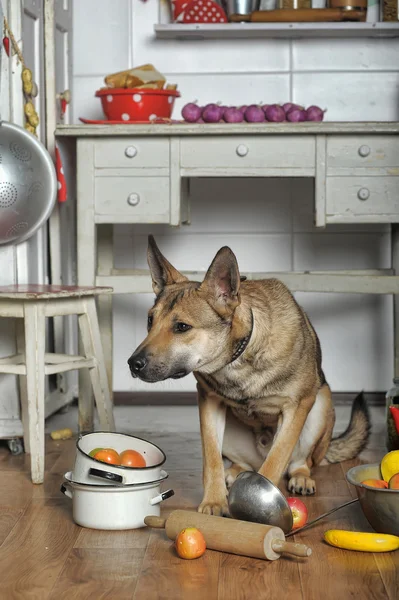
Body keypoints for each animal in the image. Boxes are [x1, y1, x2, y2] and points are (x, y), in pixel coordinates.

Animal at [130, 237, 372, 516]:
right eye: (150, 320)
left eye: (182, 327)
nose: (132, 364)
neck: (238, 359)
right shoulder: (209, 402)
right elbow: (211, 460)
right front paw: (214, 502)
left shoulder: (297, 407)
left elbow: (276, 461)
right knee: (244, 464)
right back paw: (234, 473)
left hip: (321, 405)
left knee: (299, 461)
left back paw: (300, 477)